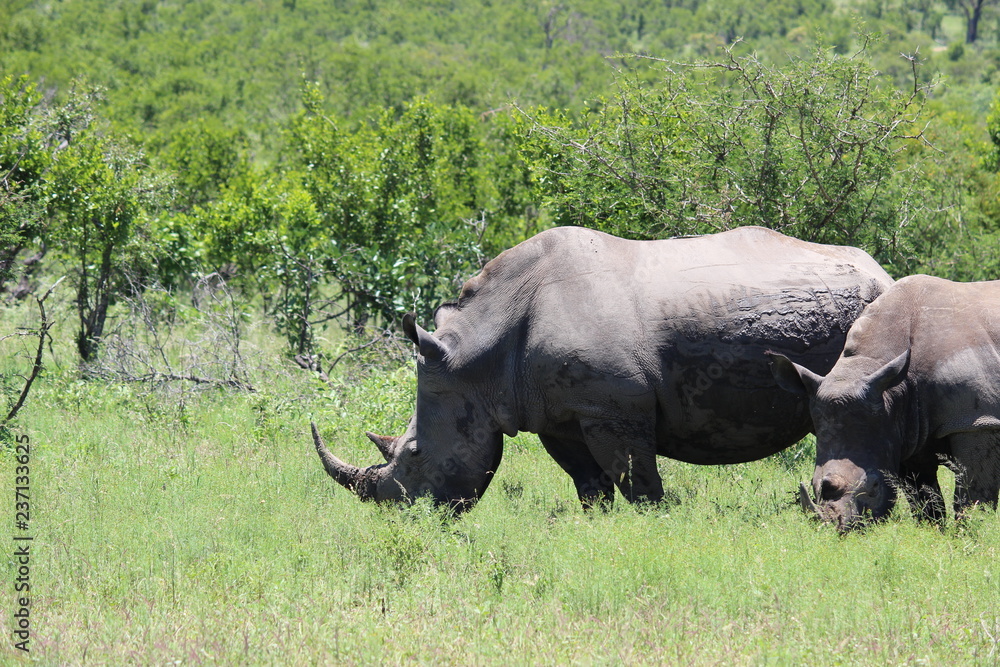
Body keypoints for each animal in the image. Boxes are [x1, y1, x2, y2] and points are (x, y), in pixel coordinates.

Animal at [313, 225, 893, 512]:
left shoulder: (614, 408)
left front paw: (656, 526)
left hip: (867, 313)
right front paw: (600, 524)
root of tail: (882, 272)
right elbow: (589, 483)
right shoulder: (556, 412)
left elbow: (638, 480)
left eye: (413, 453)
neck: (476, 354)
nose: (403, 517)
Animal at [770, 274, 1000, 531]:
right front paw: (931, 533)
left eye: (874, 486)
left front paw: (971, 532)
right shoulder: (906, 431)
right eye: (812, 483)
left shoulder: (975, 422)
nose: (837, 528)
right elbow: (925, 500)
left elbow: (972, 496)